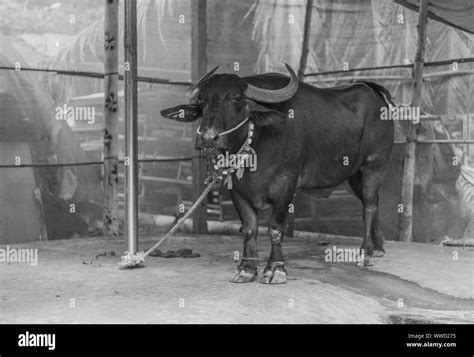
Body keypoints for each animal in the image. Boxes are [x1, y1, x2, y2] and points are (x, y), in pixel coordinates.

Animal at [161, 64, 394, 284]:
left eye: (237, 98)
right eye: (201, 101)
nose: (208, 138)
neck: (256, 145)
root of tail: (373, 92)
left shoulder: (285, 185)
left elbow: (275, 228)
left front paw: (275, 270)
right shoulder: (237, 190)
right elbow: (249, 228)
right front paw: (247, 269)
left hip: (374, 164)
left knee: (369, 206)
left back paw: (366, 253)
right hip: (354, 173)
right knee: (372, 201)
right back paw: (378, 246)